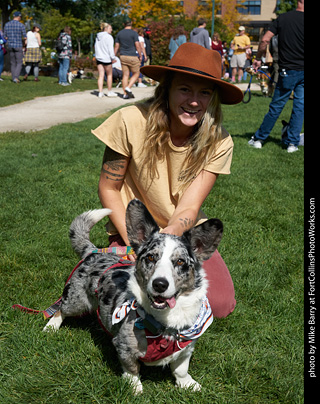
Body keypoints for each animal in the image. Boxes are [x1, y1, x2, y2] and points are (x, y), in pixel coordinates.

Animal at [43, 199, 222, 394]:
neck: (166, 322)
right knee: (60, 309)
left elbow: (181, 368)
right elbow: (132, 368)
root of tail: (93, 252)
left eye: (180, 261)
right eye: (150, 258)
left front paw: (187, 384)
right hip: (77, 301)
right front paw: (135, 388)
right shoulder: (124, 346)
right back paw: (51, 327)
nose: (159, 284)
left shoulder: (186, 347)